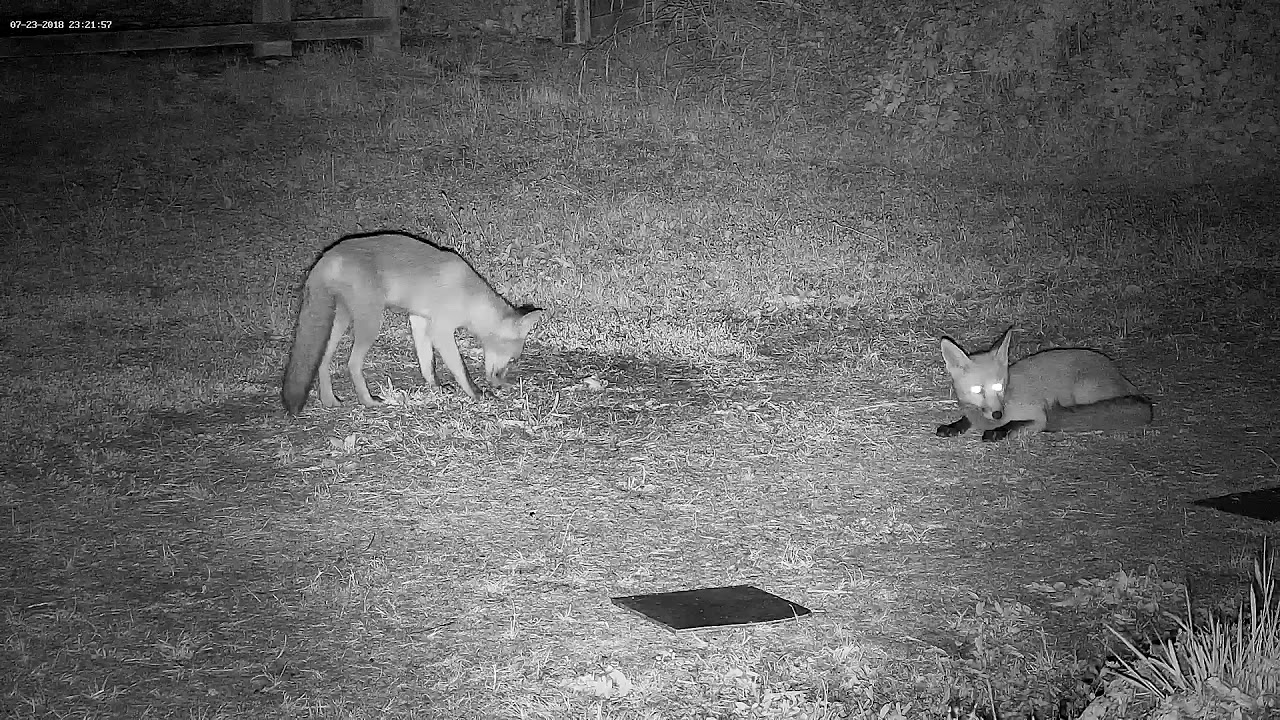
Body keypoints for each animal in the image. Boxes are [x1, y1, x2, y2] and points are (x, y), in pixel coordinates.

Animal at [281, 232, 545, 415]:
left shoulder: (419, 320)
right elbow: (460, 368)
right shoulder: (441, 330)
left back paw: (329, 400)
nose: (500, 381)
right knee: (352, 363)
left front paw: (436, 387)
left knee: (322, 360)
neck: (469, 297)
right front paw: (477, 394)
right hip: (370, 321)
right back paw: (368, 401)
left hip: (340, 320)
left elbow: (427, 363)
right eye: (513, 359)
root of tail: (327, 256)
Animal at [936, 329, 1153, 442]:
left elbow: (1014, 424)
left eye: (998, 386)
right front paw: (953, 426)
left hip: (1083, 392)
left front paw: (998, 431)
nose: (997, 414)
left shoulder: (1038, 416)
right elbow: (964, 420)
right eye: (977, 390)